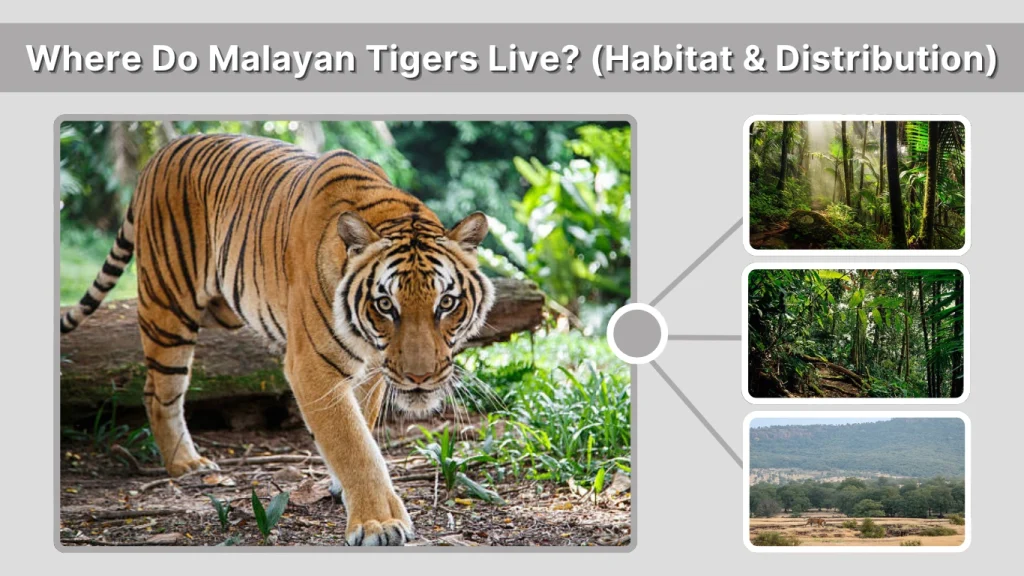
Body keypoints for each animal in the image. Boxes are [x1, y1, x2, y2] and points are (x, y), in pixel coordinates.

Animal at [60, 133, 496, 546]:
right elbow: (354, 445)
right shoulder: (312, 367)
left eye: (447, 302)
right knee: (158, 390)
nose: (420, 378)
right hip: (168, 307)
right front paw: (378, 523)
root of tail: (162, 152)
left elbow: (362, 427)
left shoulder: (373, 371)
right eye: (386, 305)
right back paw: (186, 464)